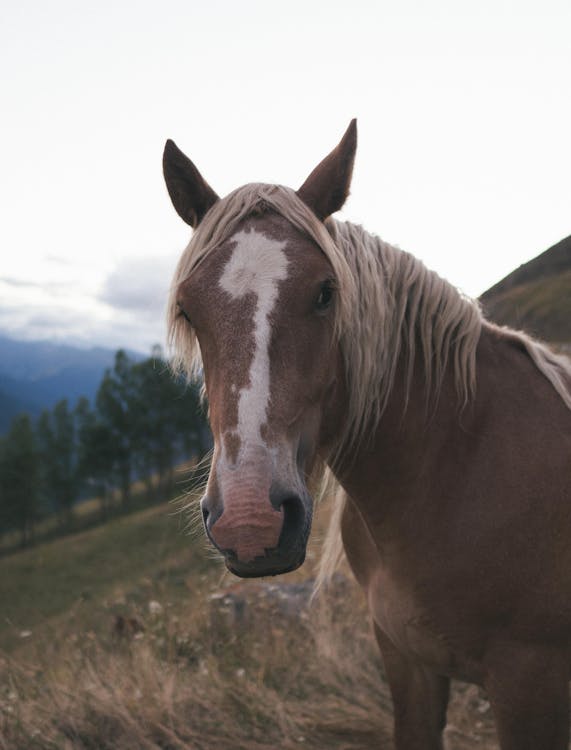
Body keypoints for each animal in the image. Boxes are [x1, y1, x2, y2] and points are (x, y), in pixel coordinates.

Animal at [161, 120, 571, 748]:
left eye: (325, 291)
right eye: (189, 310)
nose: (251, 521)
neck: (455, 470)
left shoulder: (530, 685)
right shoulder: (407, 664)